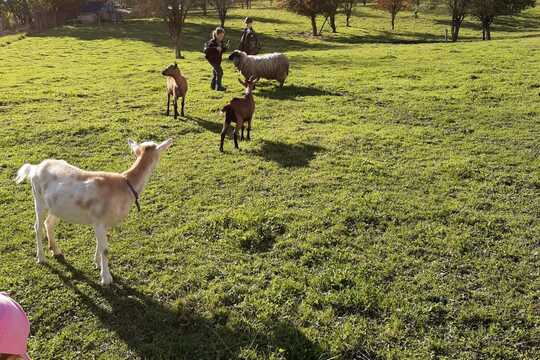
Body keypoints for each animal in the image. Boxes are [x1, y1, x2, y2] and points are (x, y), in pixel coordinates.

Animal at [14, 139, 172, 286]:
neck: (124, 186)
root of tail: (34, 168)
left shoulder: (101, 222)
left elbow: (100, 245)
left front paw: (97, 263)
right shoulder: (99, 220)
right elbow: (105, 249)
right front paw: (106, 279)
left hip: (56, 207)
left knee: (49, 223)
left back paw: (56, 250)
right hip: (38, 200)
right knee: (37, 226)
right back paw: (41, 258)